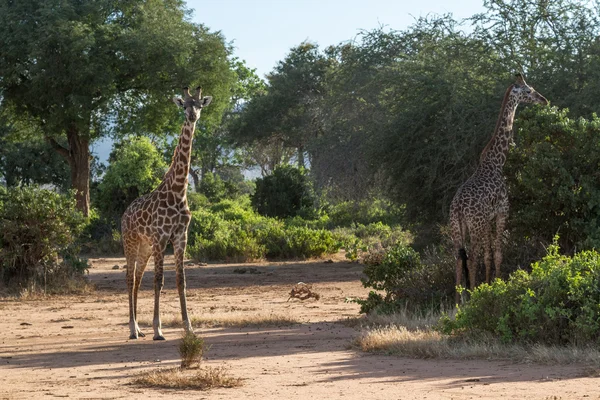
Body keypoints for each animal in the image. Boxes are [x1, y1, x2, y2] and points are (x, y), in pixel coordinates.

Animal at [120, 86, 212, 340]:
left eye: (199, 104)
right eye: (184, 105)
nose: (192, 116)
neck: (179, 190)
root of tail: (124, 215)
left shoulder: (181, 237)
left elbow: (181, 281)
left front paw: (188, 327)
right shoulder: (161, 238)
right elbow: (159, 281)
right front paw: (158, 329)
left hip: (145, 247)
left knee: (138, 279)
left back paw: (138, 328)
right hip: (131, 243)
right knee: (129, 278)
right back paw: (132, 329)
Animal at [450, 74, 548, 304]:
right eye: (528, 90)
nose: (544, 100)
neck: (497, 162)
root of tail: (458, 207)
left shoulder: (488, 219)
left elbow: (488, 255)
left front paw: (488, 285)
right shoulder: (502, 212)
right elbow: (498, 253)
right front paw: (496, 285)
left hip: (456, 228)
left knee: (459, 259)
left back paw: (458, 302)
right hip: (474, 226)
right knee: (472, 258)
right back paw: (471, 297)